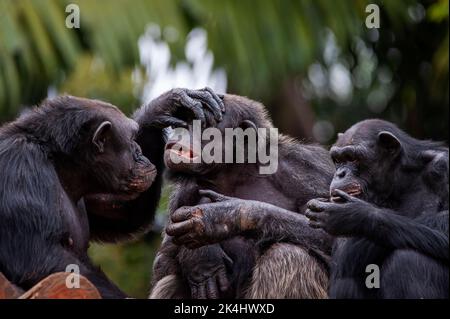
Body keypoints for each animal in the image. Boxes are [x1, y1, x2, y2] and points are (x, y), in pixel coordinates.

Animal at [0, 90, 223, 300]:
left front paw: (162, 108)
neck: (58, 163)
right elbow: (38, 258)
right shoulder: (20, 164)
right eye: (131, 140)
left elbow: (124, 214)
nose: (139, 151)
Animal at [151, 95, 334, 300]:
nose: (182, 131)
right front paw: (200, 258)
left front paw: (222, 216)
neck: (234, 170)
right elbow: (162, 263)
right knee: (170, 283)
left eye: (201, 124)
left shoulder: (307, 172)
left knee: (289, 256)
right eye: (184, 122)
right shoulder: (183, 194)